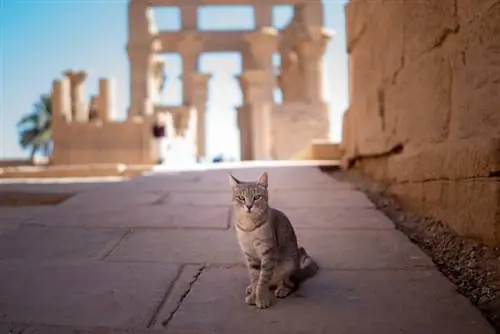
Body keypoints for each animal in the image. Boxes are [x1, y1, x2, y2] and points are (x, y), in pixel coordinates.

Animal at [229, 171, 318, 310]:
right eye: (241, 198)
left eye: (256, 197)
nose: (249, 206)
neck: (249, 227)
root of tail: (298, 270)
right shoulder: (249, 255)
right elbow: (255, 278)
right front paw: (254, 295)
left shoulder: (268, 252)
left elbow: (262, 279)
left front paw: (261, 298)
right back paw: (251, 288)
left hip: (288, 263)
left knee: (289, 282)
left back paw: (282, 289)